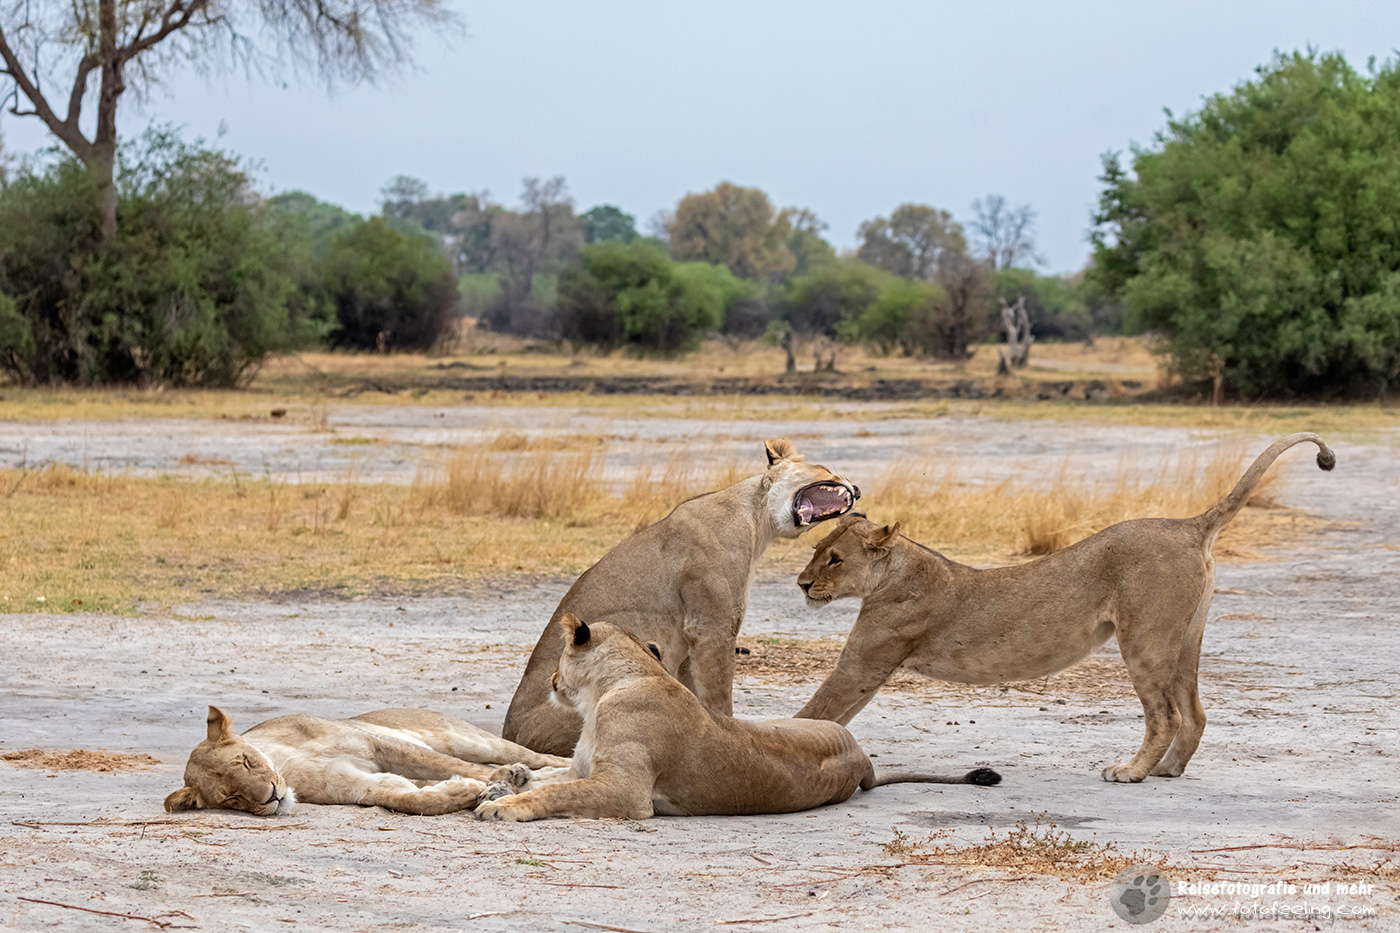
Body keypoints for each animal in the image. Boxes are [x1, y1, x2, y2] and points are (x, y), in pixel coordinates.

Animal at [164, 707, 571, 816]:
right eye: (232, 798)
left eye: (247, 762)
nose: (272, 797)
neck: (287, 764)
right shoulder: (354, 783)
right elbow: (405, 797)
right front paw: (463, 793)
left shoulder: (377, 744)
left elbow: (448, 766)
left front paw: (501, 780)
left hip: (467, 739)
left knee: (534, 757)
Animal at [475, 614, 999, 821]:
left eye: (561, 656)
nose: (551, 681)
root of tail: (861, 759)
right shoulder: (588, 768)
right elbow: (553, 775)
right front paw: (506, 781)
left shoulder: (627, 791)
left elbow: (559, 792)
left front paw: (505, 805)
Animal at [502, 438, 862, 756]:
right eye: (827, 470)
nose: (857, 490)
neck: (756, 516)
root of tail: (510, 735)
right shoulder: (711, 627)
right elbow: (719, 693)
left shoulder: (691, 638)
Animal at [793, 432, 1335, 784]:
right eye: (816, 549)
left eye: (835, 560)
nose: (802, 584)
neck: (895, 570)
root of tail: (1188, 524)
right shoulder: (870, 666)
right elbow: (831, 716)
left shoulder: (865, 662)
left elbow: (816, 710)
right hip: (1186, 639)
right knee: (1195, 712)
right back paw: (1168, 770)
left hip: (1146, 640)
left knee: (1165, 715)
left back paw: (1131, 772)